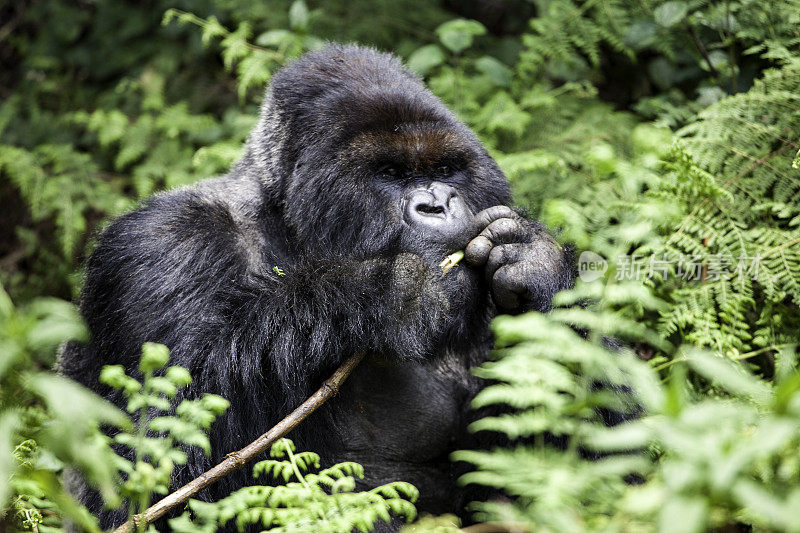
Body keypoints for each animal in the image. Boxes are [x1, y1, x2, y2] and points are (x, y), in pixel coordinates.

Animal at [61, 44, 576, 528]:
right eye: (391, 174)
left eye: (447, 170)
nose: (438, 205)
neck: (288, 229)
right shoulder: (165, 244)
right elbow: (159, 463)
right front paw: (381, 292)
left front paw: (535, 264)